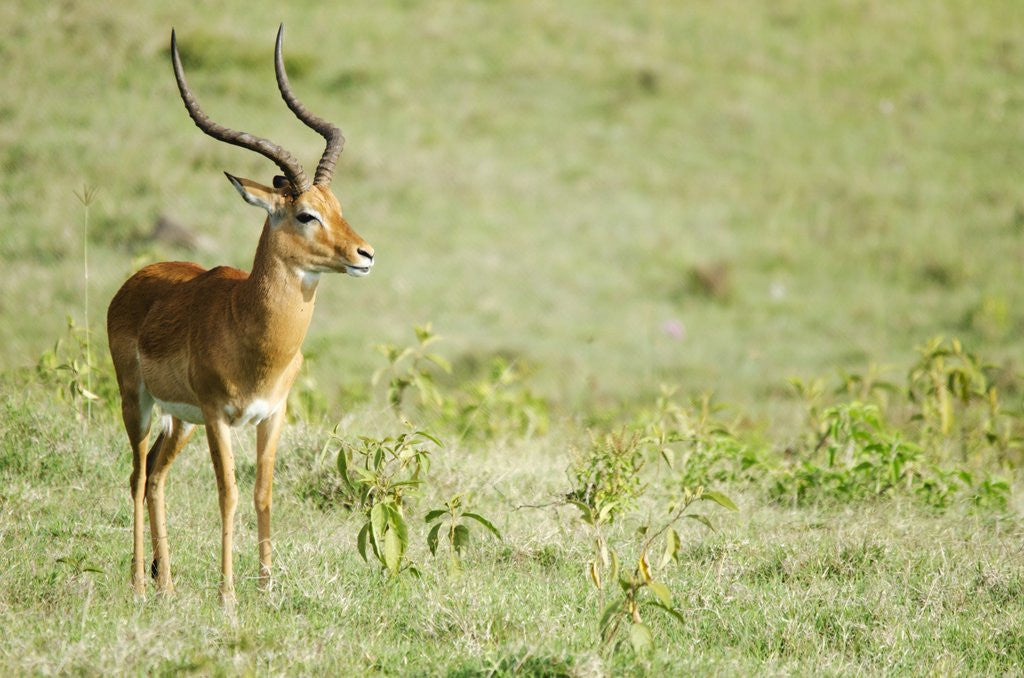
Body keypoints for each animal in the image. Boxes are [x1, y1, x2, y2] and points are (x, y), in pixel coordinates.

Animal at [107, 26, 374, 600]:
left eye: (337, 207)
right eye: (306, 214)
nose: (364, 254)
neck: (251, 330)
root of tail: (137, 278)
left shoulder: (271, 414)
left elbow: (263, 494)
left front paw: (266, 588)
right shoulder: (217, 416)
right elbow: (227, 493)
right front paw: (229, 595)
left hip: (177, 420)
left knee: (156, 475)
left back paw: (167, 585)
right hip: (138, 402)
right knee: (137, 475)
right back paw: (139, 582)